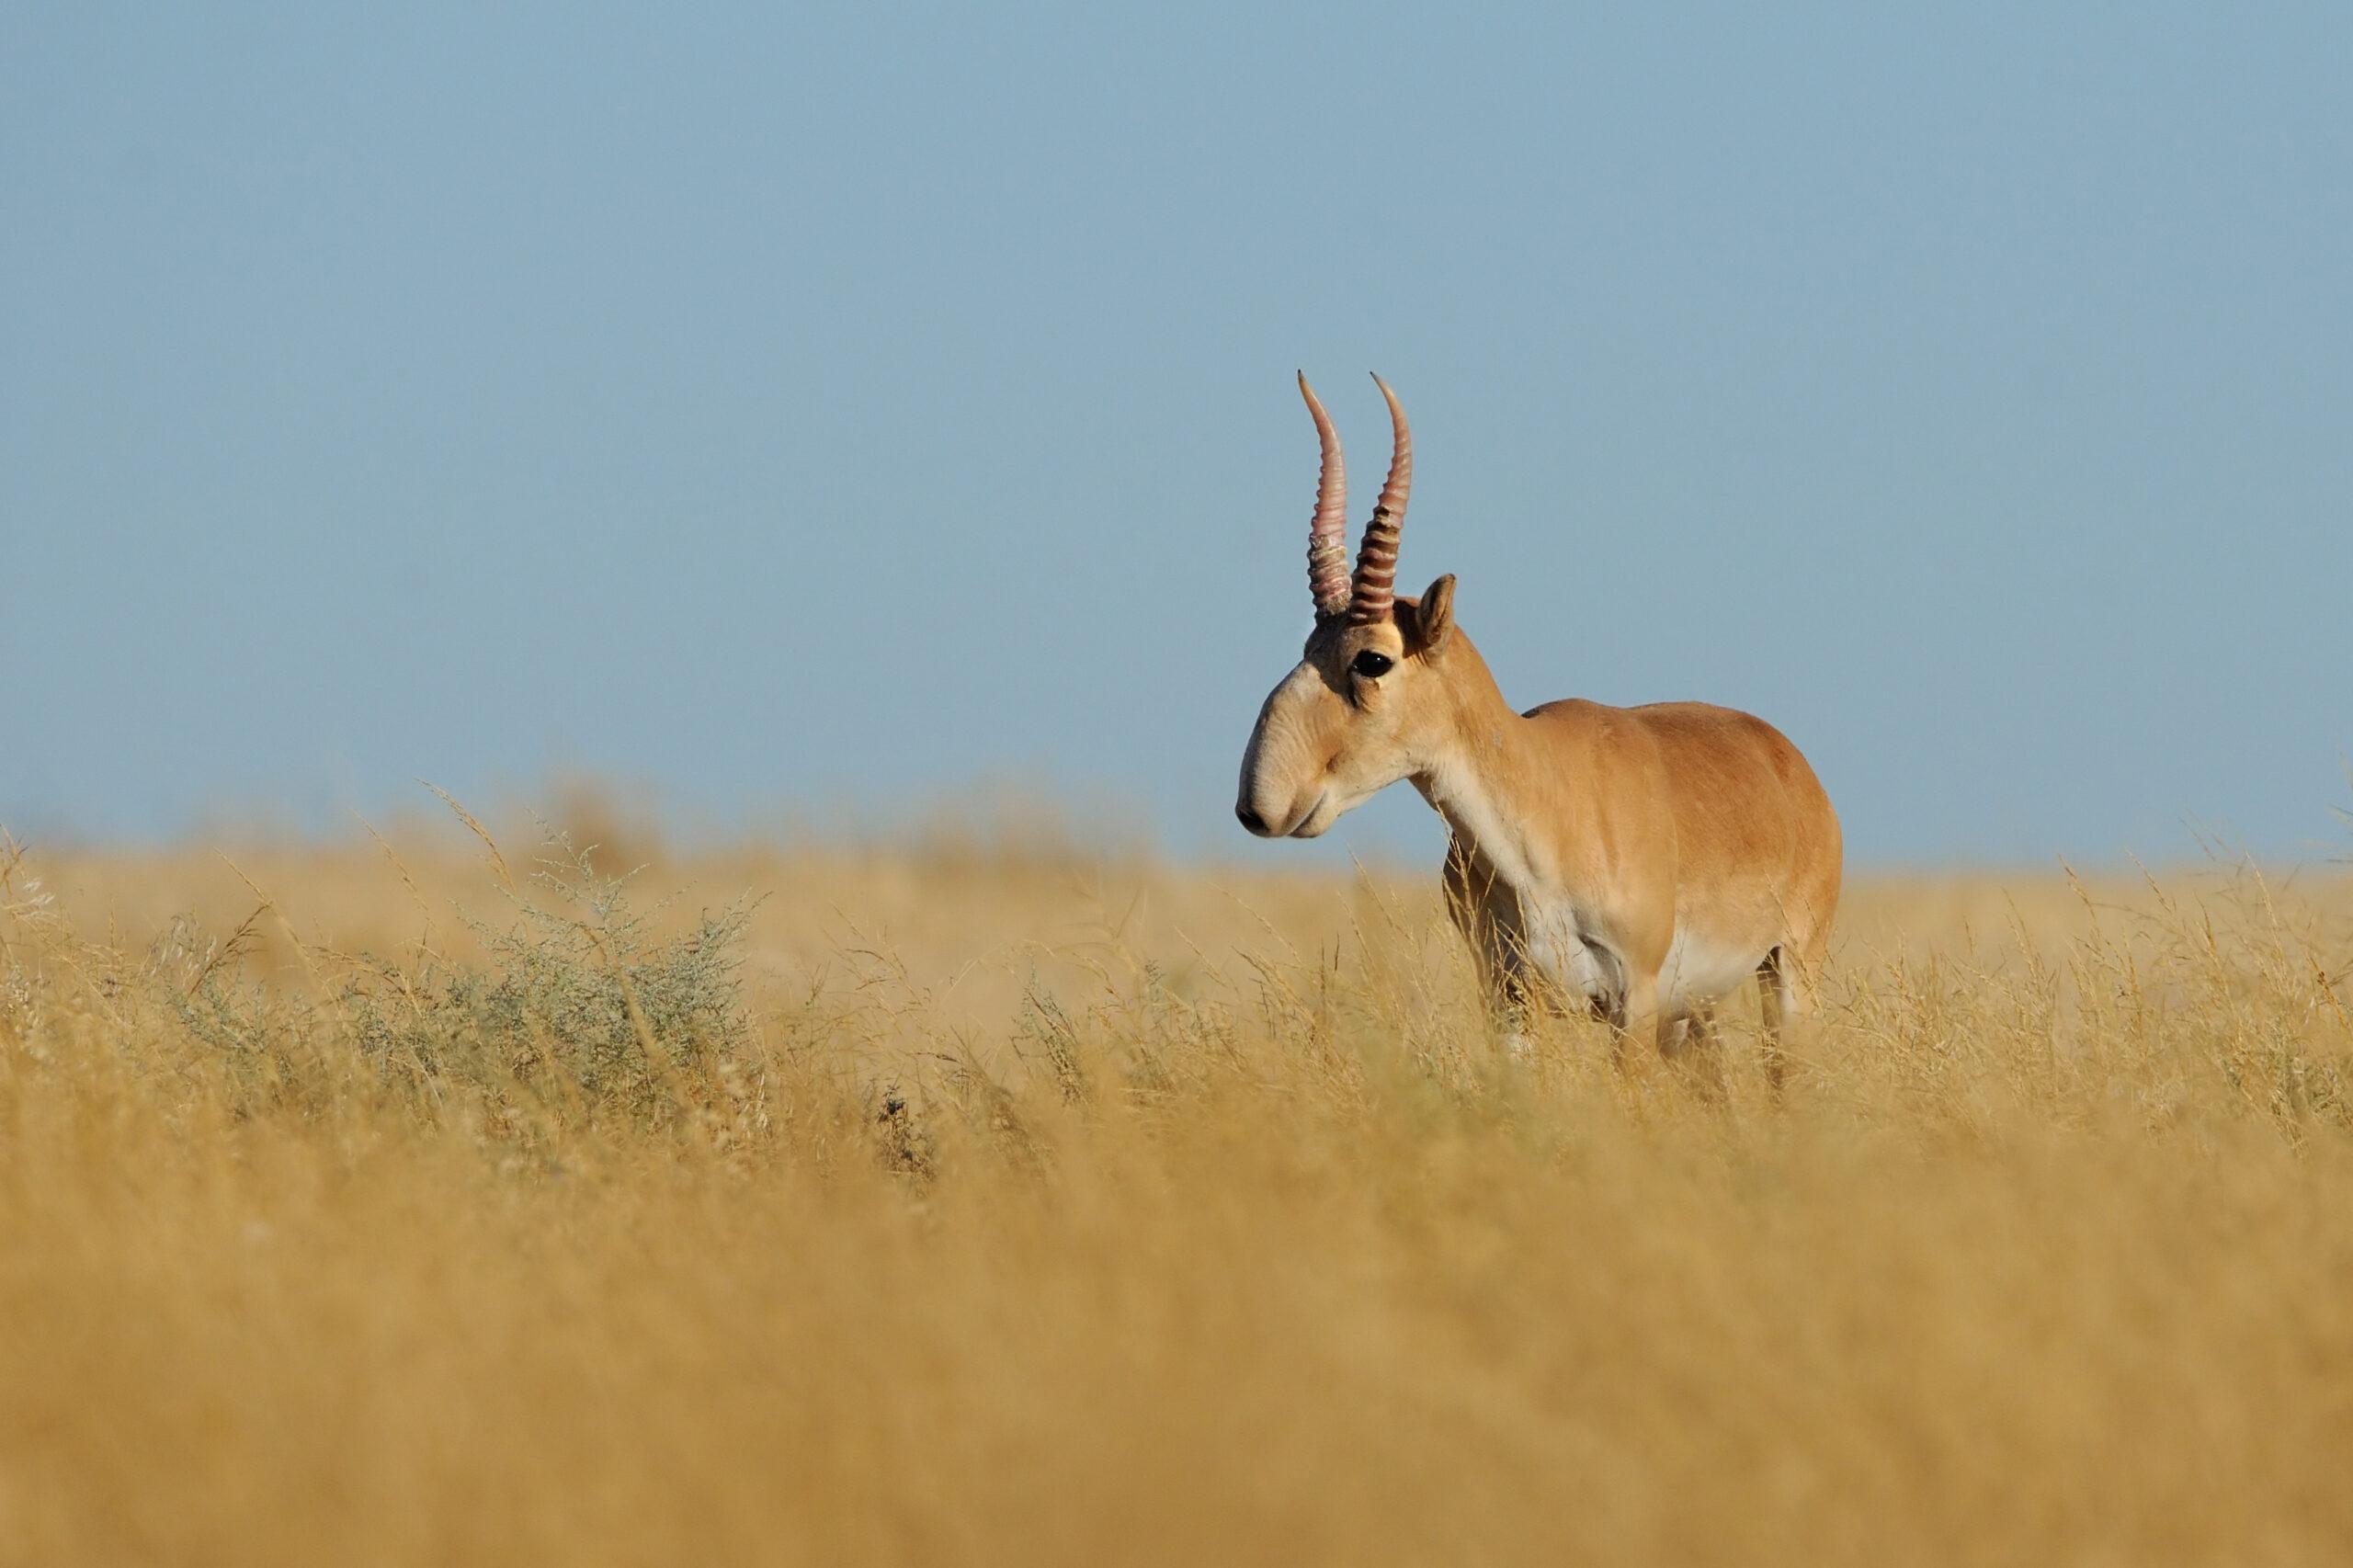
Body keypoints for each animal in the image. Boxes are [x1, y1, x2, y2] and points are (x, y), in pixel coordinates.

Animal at [1235, 374, 1842, 1083]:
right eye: (1309, 646)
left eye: (1372, 658)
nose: (1261, 806)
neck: (1541, 791)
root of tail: (1790, 763)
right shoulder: (1508, 1000)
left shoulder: (1632, 1001)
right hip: (1696, 1014)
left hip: (1787, 975)